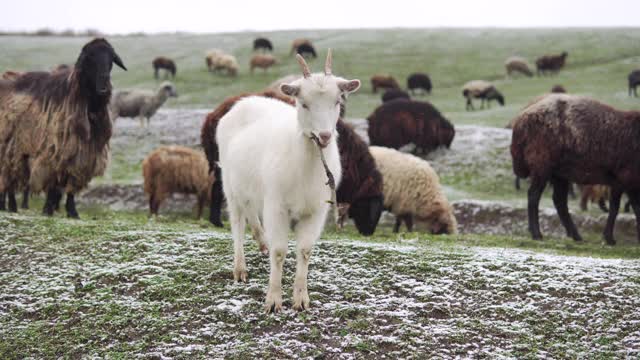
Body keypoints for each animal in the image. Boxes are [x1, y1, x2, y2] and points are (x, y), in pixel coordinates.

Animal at [218, 50, 362, 312]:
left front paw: (301, 299)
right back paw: (240, 268)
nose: (325, 136)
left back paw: (261, 241)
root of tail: (245, 102)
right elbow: (279, 252)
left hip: (252, 186)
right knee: (237, 222)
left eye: (338, 102)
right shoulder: (276, 206)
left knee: (251, 210)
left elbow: (304, 251)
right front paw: (273, 300)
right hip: (230, 185)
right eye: (303, 103)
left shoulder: (315, 211)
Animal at [510, 94, 640, 245]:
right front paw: (609, 238)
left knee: (559, 201)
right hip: (542, 164)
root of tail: (521, 120)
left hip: (559, 172)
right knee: (534, 196)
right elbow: (619, 208)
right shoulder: (624, 178)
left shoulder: (624, 182)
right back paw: (537, 234)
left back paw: (575, 235)